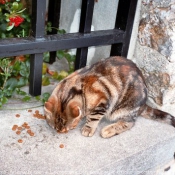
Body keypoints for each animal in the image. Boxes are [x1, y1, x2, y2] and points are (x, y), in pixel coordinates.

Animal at [44, 56, 175, 138]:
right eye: (54, 127)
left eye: (68, 128)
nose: (60, 132)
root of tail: (143, 105)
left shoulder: (103, 101)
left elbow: (93, 118)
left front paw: (88, 128)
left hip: (125, 108)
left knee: (130, 122)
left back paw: (108, 130)